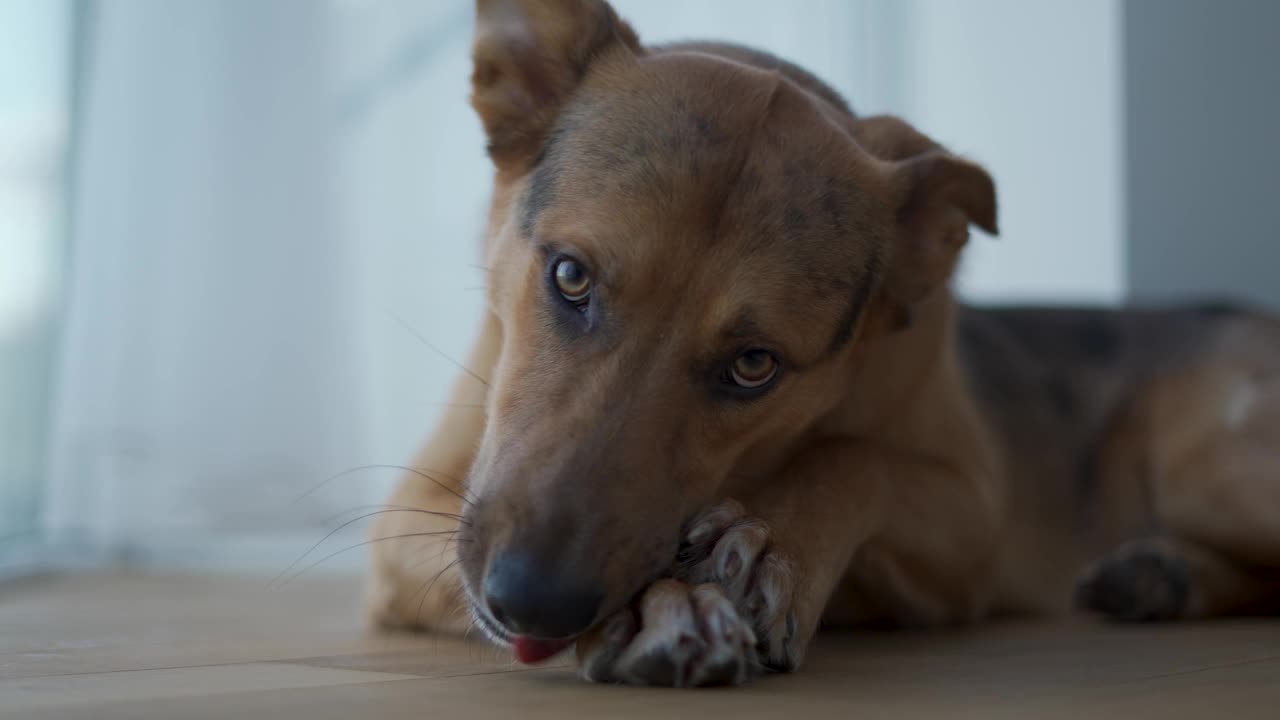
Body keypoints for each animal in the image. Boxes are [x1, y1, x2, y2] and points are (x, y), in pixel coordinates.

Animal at [360, 0, 1280, 681]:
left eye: (754, 365)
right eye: (570, 278)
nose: (532, 602)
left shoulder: (973, 518)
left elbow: (854, 458)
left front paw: (768, 545)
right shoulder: (415, 512)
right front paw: (668, 600)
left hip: (1201, 460)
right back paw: (1162, 576)